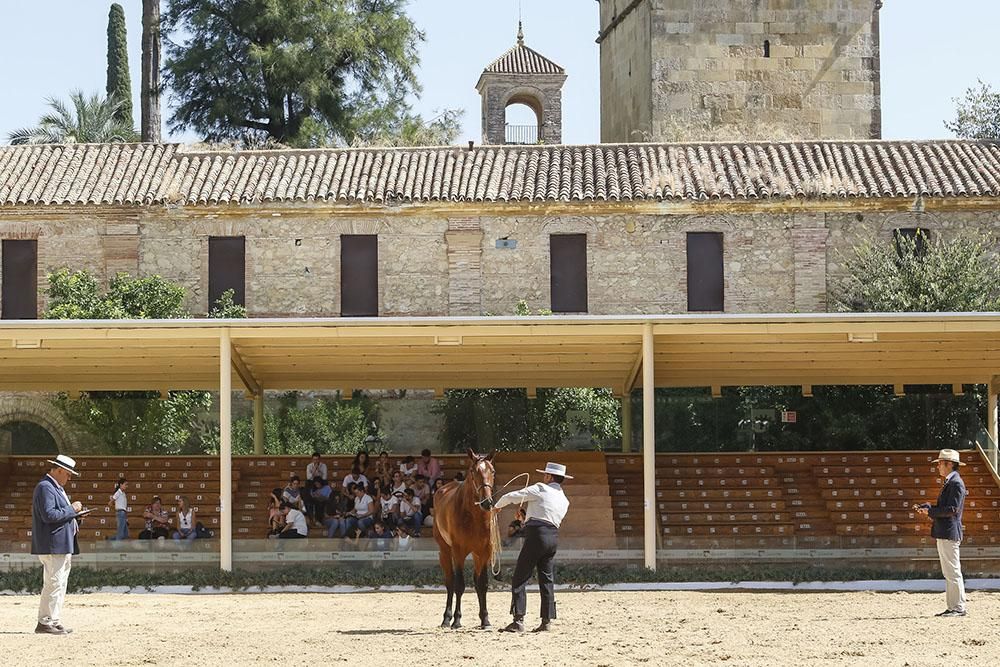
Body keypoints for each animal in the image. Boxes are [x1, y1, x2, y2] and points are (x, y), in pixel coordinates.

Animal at [432, 448, 498, 632]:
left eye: (492, 471)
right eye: (474, 472)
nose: (487, 503)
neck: (474, 517)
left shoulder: (484, 552)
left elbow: (482, 584)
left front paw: (485, 620)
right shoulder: (458, 553)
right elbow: (459, 585)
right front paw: (457, 620)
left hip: (475, 555)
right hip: (445, 552)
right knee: (450, 582)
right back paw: (447, 619)